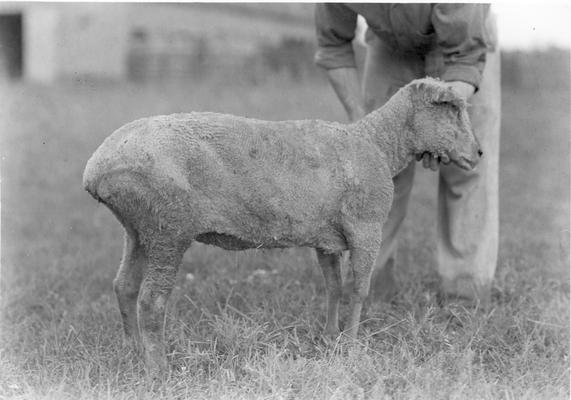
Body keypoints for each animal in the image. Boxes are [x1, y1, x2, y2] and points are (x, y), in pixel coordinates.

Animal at [81, 78, 482, 376]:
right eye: (451, 109)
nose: (479, 154)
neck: (380, 144)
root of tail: (97, 169)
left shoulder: (327, 240)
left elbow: (334, 288)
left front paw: (331, 339)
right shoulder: (366, 227)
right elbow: (358, 290)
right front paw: (353, 348)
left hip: (138, 229)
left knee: (124, 287)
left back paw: (135, 354)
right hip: (168, 227)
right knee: (152, 300)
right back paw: (159, 370)